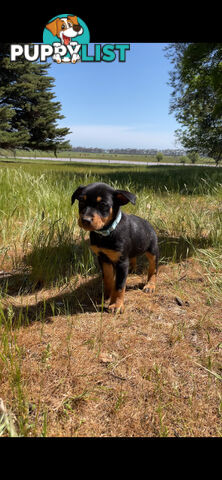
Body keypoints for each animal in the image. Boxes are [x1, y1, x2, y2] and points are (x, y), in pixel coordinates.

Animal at [71, 182, 158, 314]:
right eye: (81, 202)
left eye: (103, 205)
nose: (85, 220)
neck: (107, 232)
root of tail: (148, 223)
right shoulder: (103, 258)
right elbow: (107, 279)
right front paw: (106, 296)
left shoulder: (121, 262)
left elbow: (119, 286)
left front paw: (116, 305)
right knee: (133, 257)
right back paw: (131, 269)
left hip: (153, 251)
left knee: (153, 269)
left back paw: (150, 285)